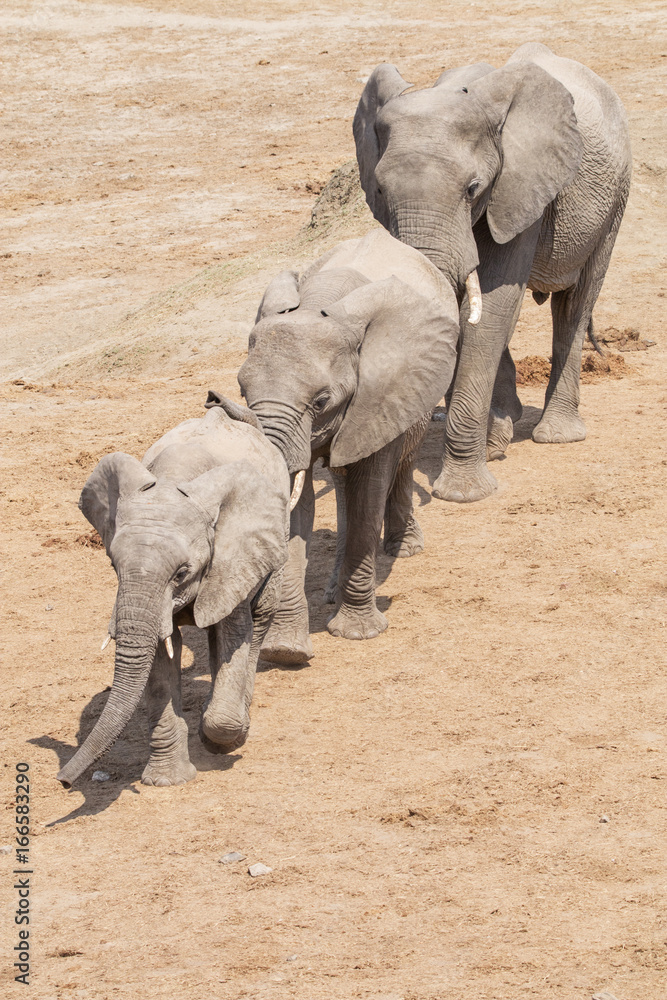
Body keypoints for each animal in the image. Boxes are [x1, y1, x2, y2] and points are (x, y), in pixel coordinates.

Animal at [57, 396, 289, 789]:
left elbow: (234, 630)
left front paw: (225, 740)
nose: (62, 781)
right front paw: (167, 781)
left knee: (259, 617)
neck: (175, 479)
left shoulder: (232, 555)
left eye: (182, 572)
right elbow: (160, 657)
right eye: (113, 567)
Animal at [237, 228, 460, 662]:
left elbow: (369, 489)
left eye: (321, 401)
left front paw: (358, 634)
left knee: (401, 462)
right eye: (242, 389)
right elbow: (300, 503)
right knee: (341, 480)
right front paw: (285, 652)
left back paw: (403, 549)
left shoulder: (379, 394)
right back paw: (331, 590)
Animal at [354, 42, 632, 502]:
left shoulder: (520, 183)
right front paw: (491, 447)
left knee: (575, 305)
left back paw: (556, 434)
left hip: (614, 202)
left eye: (472, 189)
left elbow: (494, 306)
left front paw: (464, 493)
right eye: (378, 189)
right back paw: (504, 427)